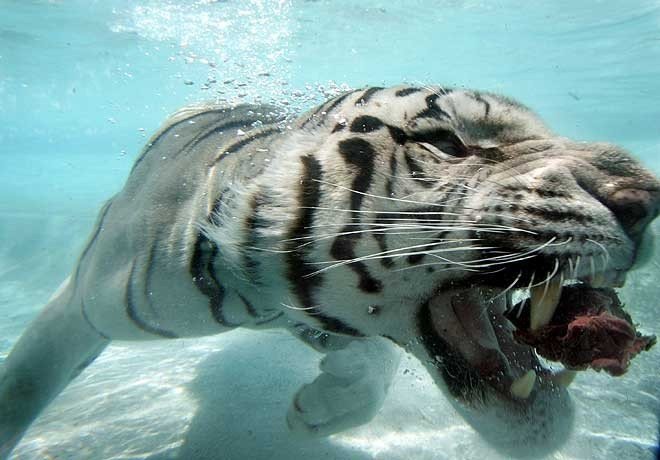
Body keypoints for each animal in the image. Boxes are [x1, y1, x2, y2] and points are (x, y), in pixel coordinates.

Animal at [1, 85, 659, 459]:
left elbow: (368, 361)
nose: (646, 200)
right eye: (446, 142)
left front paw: (323, 405)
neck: (269, 298)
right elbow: (24, 383)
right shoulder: (83, 299)